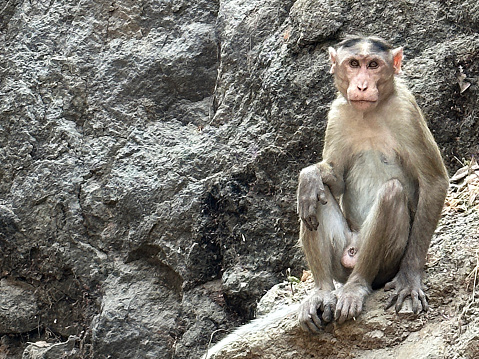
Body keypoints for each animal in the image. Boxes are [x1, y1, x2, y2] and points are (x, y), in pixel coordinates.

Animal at [296, 36, 450, 334]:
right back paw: (322, 291)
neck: (370, 113)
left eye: (374, 65)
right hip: (341, 259)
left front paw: (410, 278)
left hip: (385, 264)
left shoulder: (407, 111)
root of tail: (353, 249)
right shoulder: (337, 114)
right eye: (354, 64)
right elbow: (334, 181)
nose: (362, 86)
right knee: (314, 199)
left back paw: (357, 286)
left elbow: (434, 182)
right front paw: (309, 174)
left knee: (392, 192)